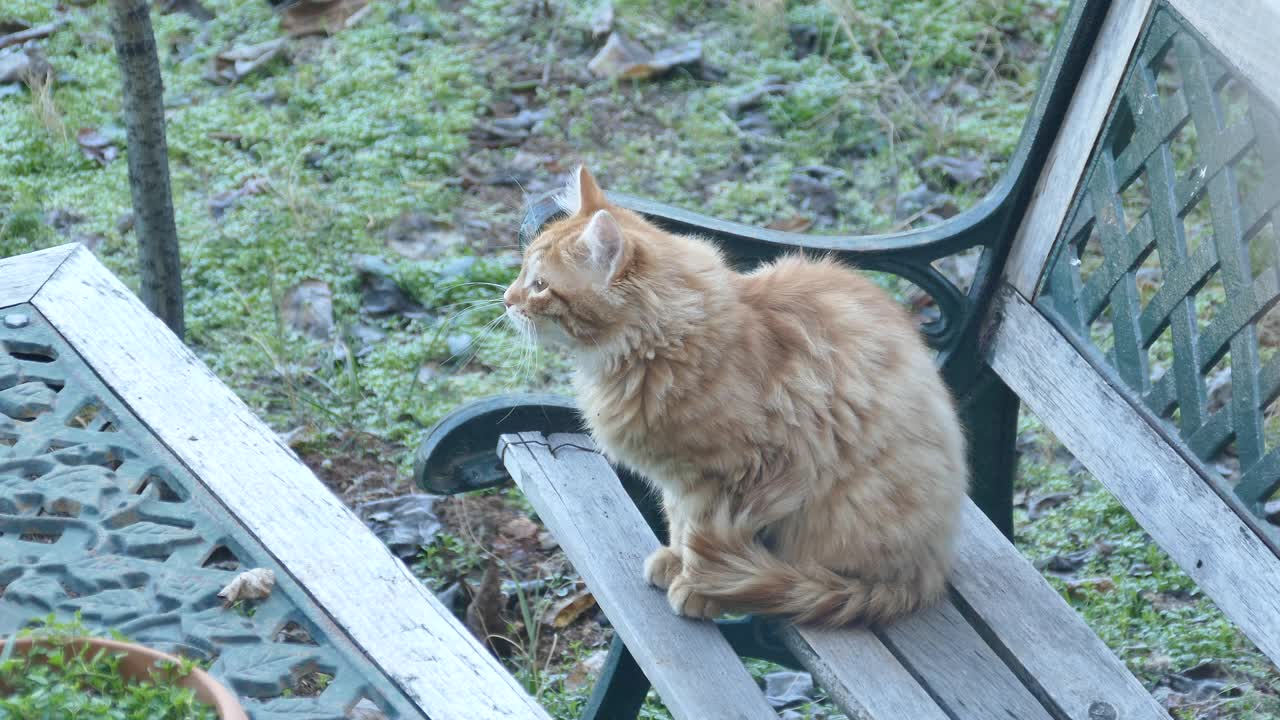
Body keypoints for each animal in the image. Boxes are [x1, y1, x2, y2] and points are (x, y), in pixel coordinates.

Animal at [504, 163, 962, 622]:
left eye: (539, 285)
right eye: (522, 273)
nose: (506, 300)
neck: (662, 346)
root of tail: (932, 572)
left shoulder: (731, 475)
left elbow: (700, 536)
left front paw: (698, 588)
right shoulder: (680, 478)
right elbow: (678, 523)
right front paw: (674, 561)